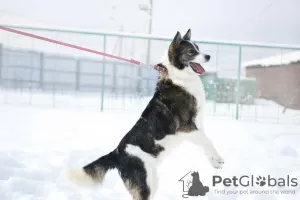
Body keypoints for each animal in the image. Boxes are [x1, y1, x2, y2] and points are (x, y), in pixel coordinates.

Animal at [67, 28, 224, 200]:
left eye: (198, 48)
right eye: (191, 51)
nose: (208, 56)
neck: (179, 77)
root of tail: (117, 153)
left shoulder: (196, 128)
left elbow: (205, 143)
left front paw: (214, 161)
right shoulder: (187, 126)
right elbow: (207, 142)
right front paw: (217, 158)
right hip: (146, 183)